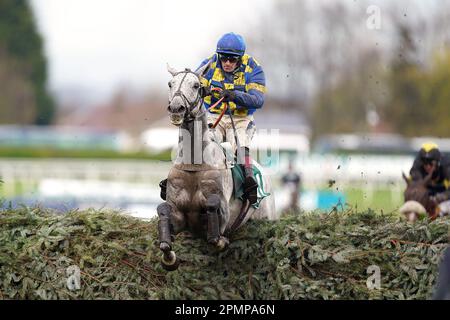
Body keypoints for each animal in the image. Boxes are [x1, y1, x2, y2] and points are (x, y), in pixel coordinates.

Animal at [157, 62, 278, 270]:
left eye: (196, 85)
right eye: (170, 84)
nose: (176, 108)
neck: (194, 163)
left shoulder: (223, 215)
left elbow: (215, 230)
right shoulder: (178, 212)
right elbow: (164, 224)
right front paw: (169, 258)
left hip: (265, 216)